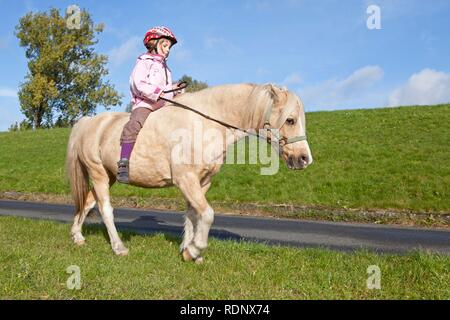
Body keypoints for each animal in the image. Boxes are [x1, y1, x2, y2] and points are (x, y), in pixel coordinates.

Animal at [66, 82, 312, 262]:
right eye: (290, 120)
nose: (305, 159)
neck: (205, 124)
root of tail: (89, 122)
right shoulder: (186, 180)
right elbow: (207, 214)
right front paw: (195, 250)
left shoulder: (202, 181)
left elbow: (194, 215)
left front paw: (188, 249)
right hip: (98, 173)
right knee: (105, 209)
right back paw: (118, 247)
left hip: (108, 176)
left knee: (87, 202)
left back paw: (77, 236)